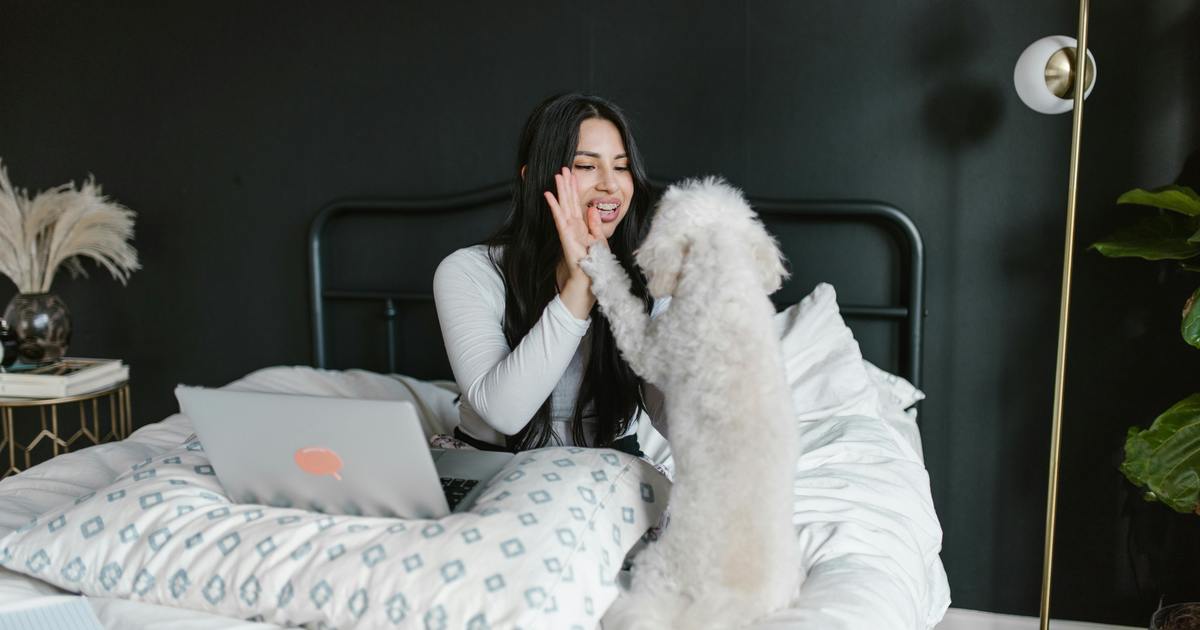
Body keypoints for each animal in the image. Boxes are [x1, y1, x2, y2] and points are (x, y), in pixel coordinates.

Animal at [578, 177, 796, 628]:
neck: (723, 272)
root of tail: (734, 606)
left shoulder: (650, 347)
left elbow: (621, 304)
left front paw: (599, 255)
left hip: (661, 568)